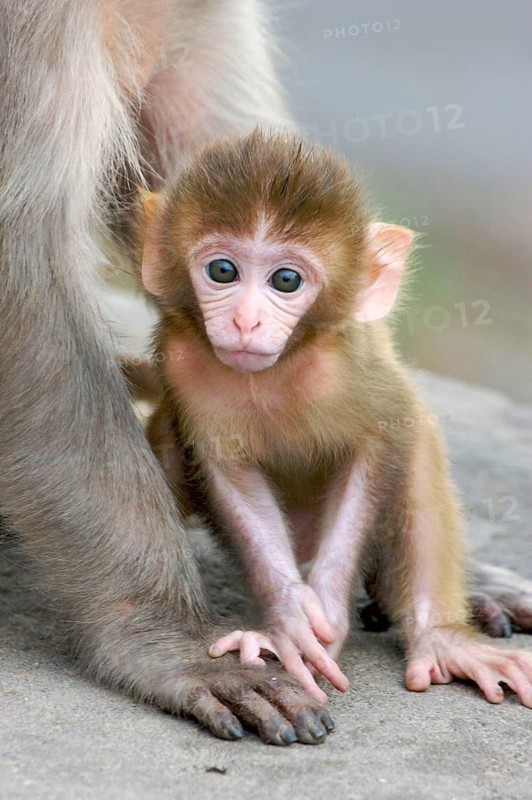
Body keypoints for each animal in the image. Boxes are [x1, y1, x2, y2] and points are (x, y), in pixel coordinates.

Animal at [132, 128, 532, 707]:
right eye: (223, 271)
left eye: (286, 280)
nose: (246, 320)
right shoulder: (185, 363)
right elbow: (227, 471)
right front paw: (290, 623)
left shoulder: (348, 367)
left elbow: (385, 440)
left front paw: (328, 614)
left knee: (418, 450)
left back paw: (442, 636)